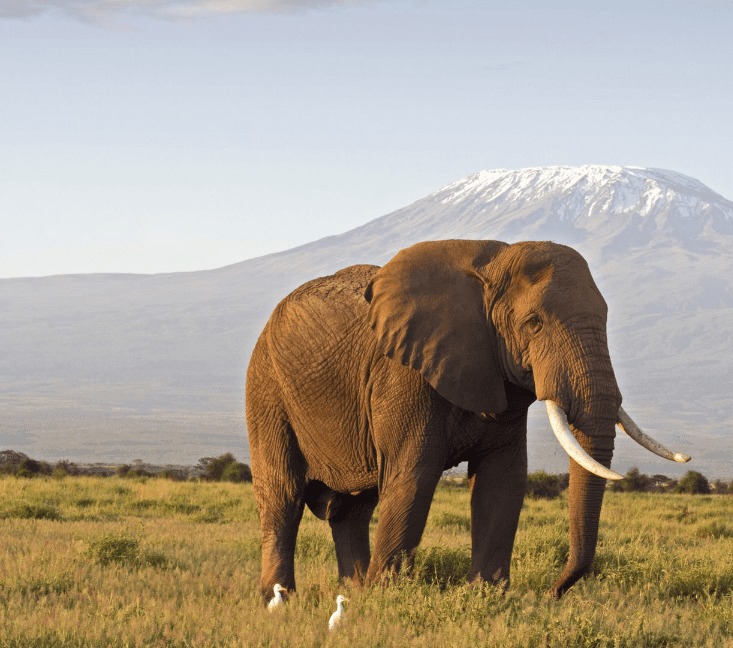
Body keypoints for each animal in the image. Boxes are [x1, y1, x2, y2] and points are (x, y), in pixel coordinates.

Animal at [244, 238, 688, 604]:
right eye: (534, 324)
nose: (553, 594)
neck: (490, 265)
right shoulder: (404, 372)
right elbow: (414, 474)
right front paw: (387, 598)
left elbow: (503, 479)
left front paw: (485, 597)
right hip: (266, 386)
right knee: (283, 495)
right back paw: (280, 600)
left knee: (354, 508)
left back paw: (351, 592)